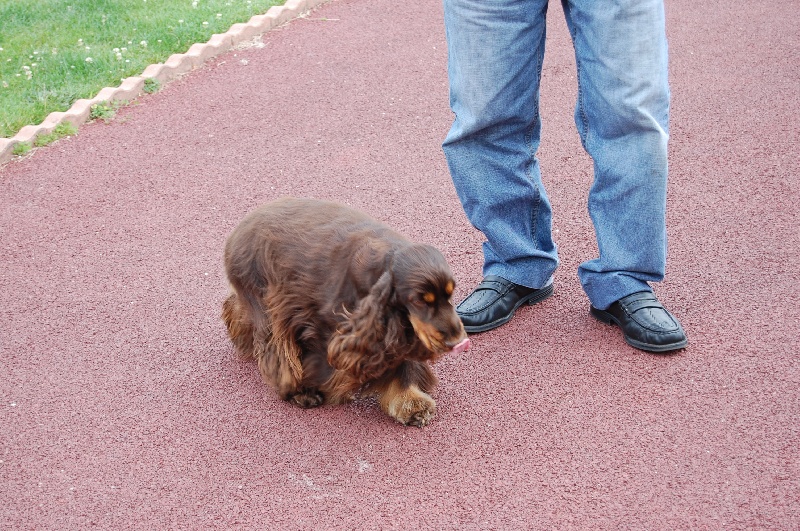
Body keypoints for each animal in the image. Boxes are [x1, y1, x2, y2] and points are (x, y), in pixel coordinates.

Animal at [220, 197, 468, 426]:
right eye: (419, 301)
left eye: (450, 294)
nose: (457, 341)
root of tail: (237, 230)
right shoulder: (321, 322)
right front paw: (313, 387)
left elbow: (402, 362)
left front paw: (410, 402)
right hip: (265, 300)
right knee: (276, 346)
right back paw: (296, 389)